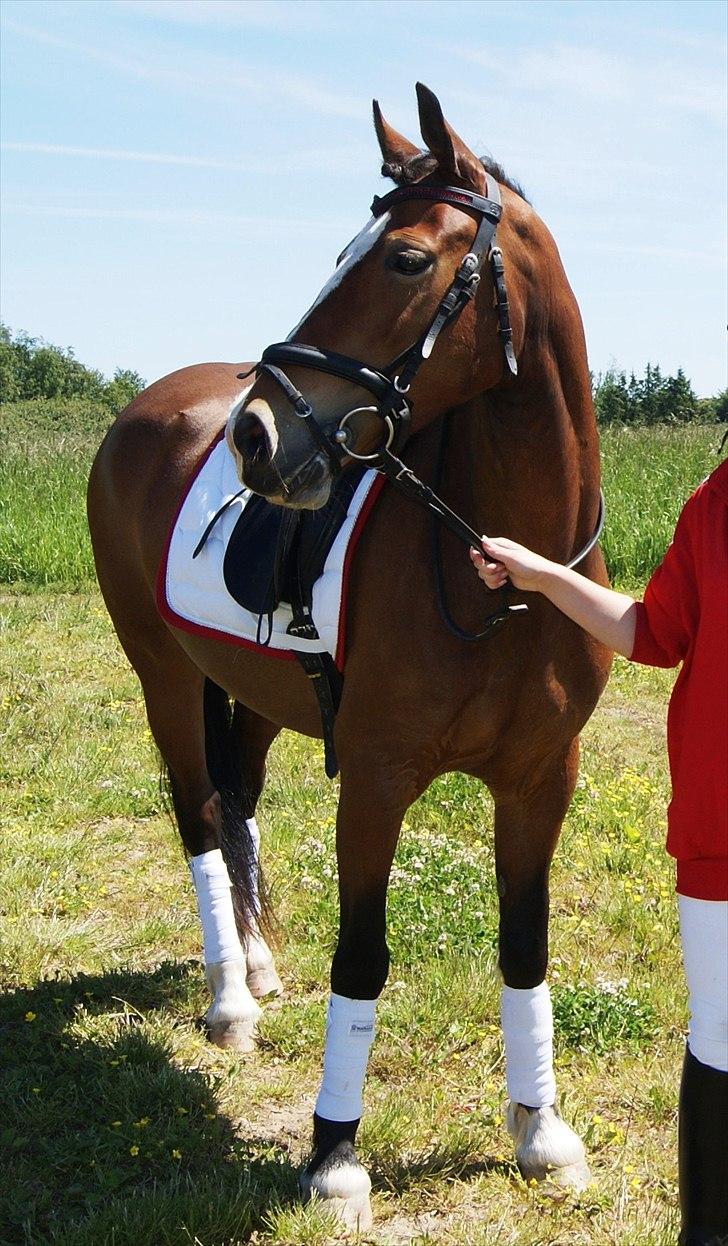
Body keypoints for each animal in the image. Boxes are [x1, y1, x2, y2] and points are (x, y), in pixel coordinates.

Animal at [87, 82, 610, 1231]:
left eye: (405, 259)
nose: (254, 436)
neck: (498, 568)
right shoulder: (373, 777)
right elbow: (363, 957)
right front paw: (334, 1154)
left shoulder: (539, 780)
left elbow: (526, 944)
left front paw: (539, 1129)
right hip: (162, 673)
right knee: (199, 813)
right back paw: (228, 998)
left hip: (245, 688)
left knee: (234, 797)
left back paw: (255, 965)